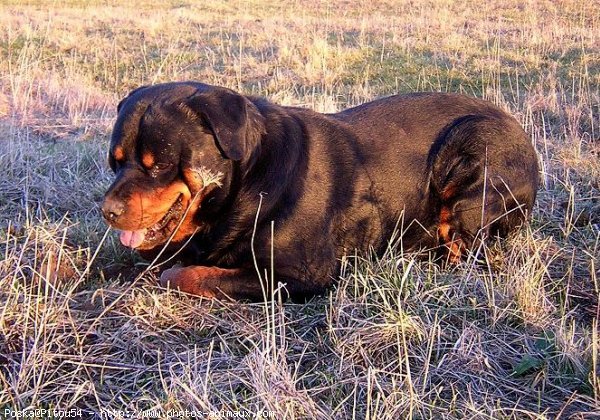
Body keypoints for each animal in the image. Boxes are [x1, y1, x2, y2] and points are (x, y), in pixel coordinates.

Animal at [102, 81, 540, 298]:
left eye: (159, 164)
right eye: (115, 160)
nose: (108, 210)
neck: (250, 183)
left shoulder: (298, 274)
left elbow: (189, 275)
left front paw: (170, 274)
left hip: (473, 150)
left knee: (466, 247)